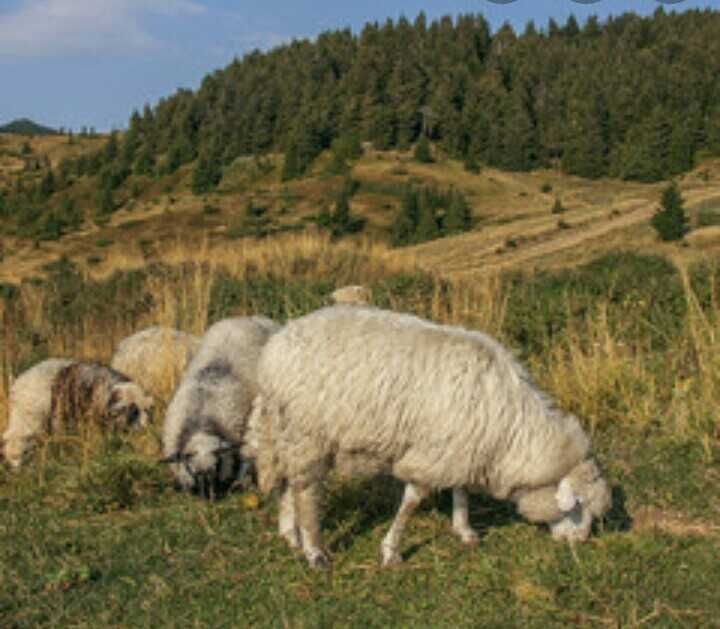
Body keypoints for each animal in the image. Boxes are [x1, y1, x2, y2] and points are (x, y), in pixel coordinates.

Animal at [245, 306, 612, 568]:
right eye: (579, 506)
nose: (579, 543)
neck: (513, 431)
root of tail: (275, 347)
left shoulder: (461, 448)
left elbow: (461, 490)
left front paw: (464, 530)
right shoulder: (433, 453)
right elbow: (412, 502)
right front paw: (391, 551)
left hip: (284, 429)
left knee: (287, 481)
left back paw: (290, 534)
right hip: (306, 432)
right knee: (306, 490)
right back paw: (314, 551)